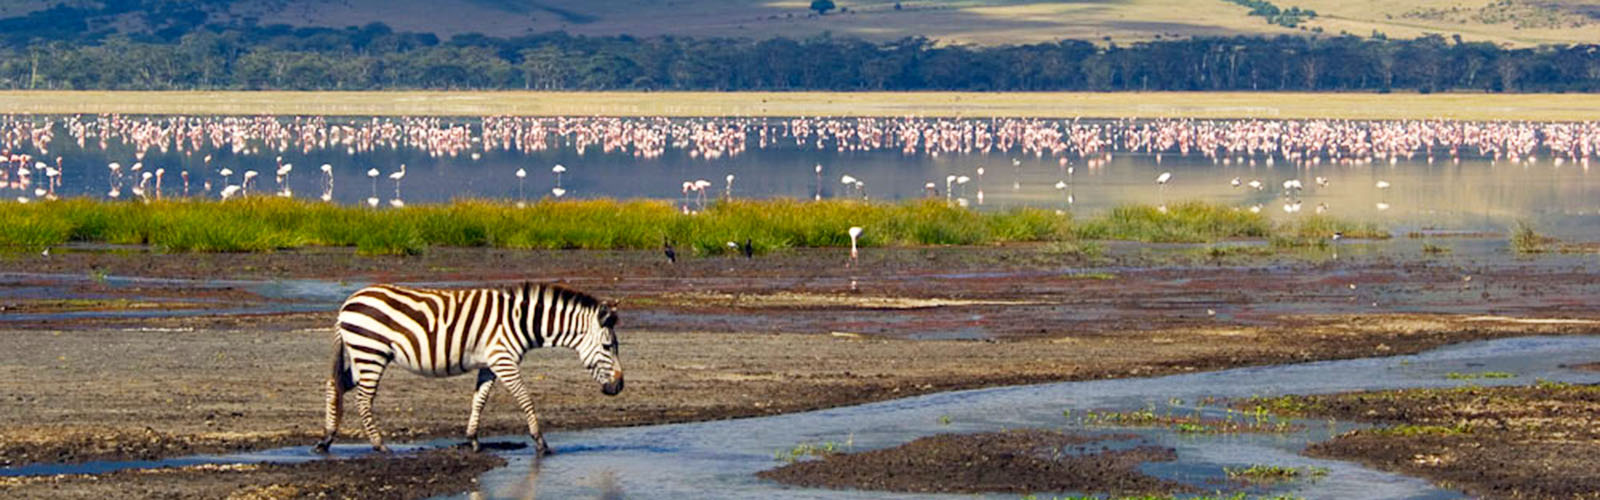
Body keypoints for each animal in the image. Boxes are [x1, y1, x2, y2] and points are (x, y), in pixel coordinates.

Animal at [313, 282, 623, 456]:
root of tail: (347, 302)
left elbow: (479, 401)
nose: (619, 386)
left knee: (333, 387)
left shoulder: (489, 364)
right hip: (371, 352)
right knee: (363, 399)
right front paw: (541, 442)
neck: (521, 322)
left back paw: (327, 439)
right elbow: (526, 399)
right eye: (608, 347)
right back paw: (379, 445)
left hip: (361, 354)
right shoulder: (504, 360)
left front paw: (473, 440)